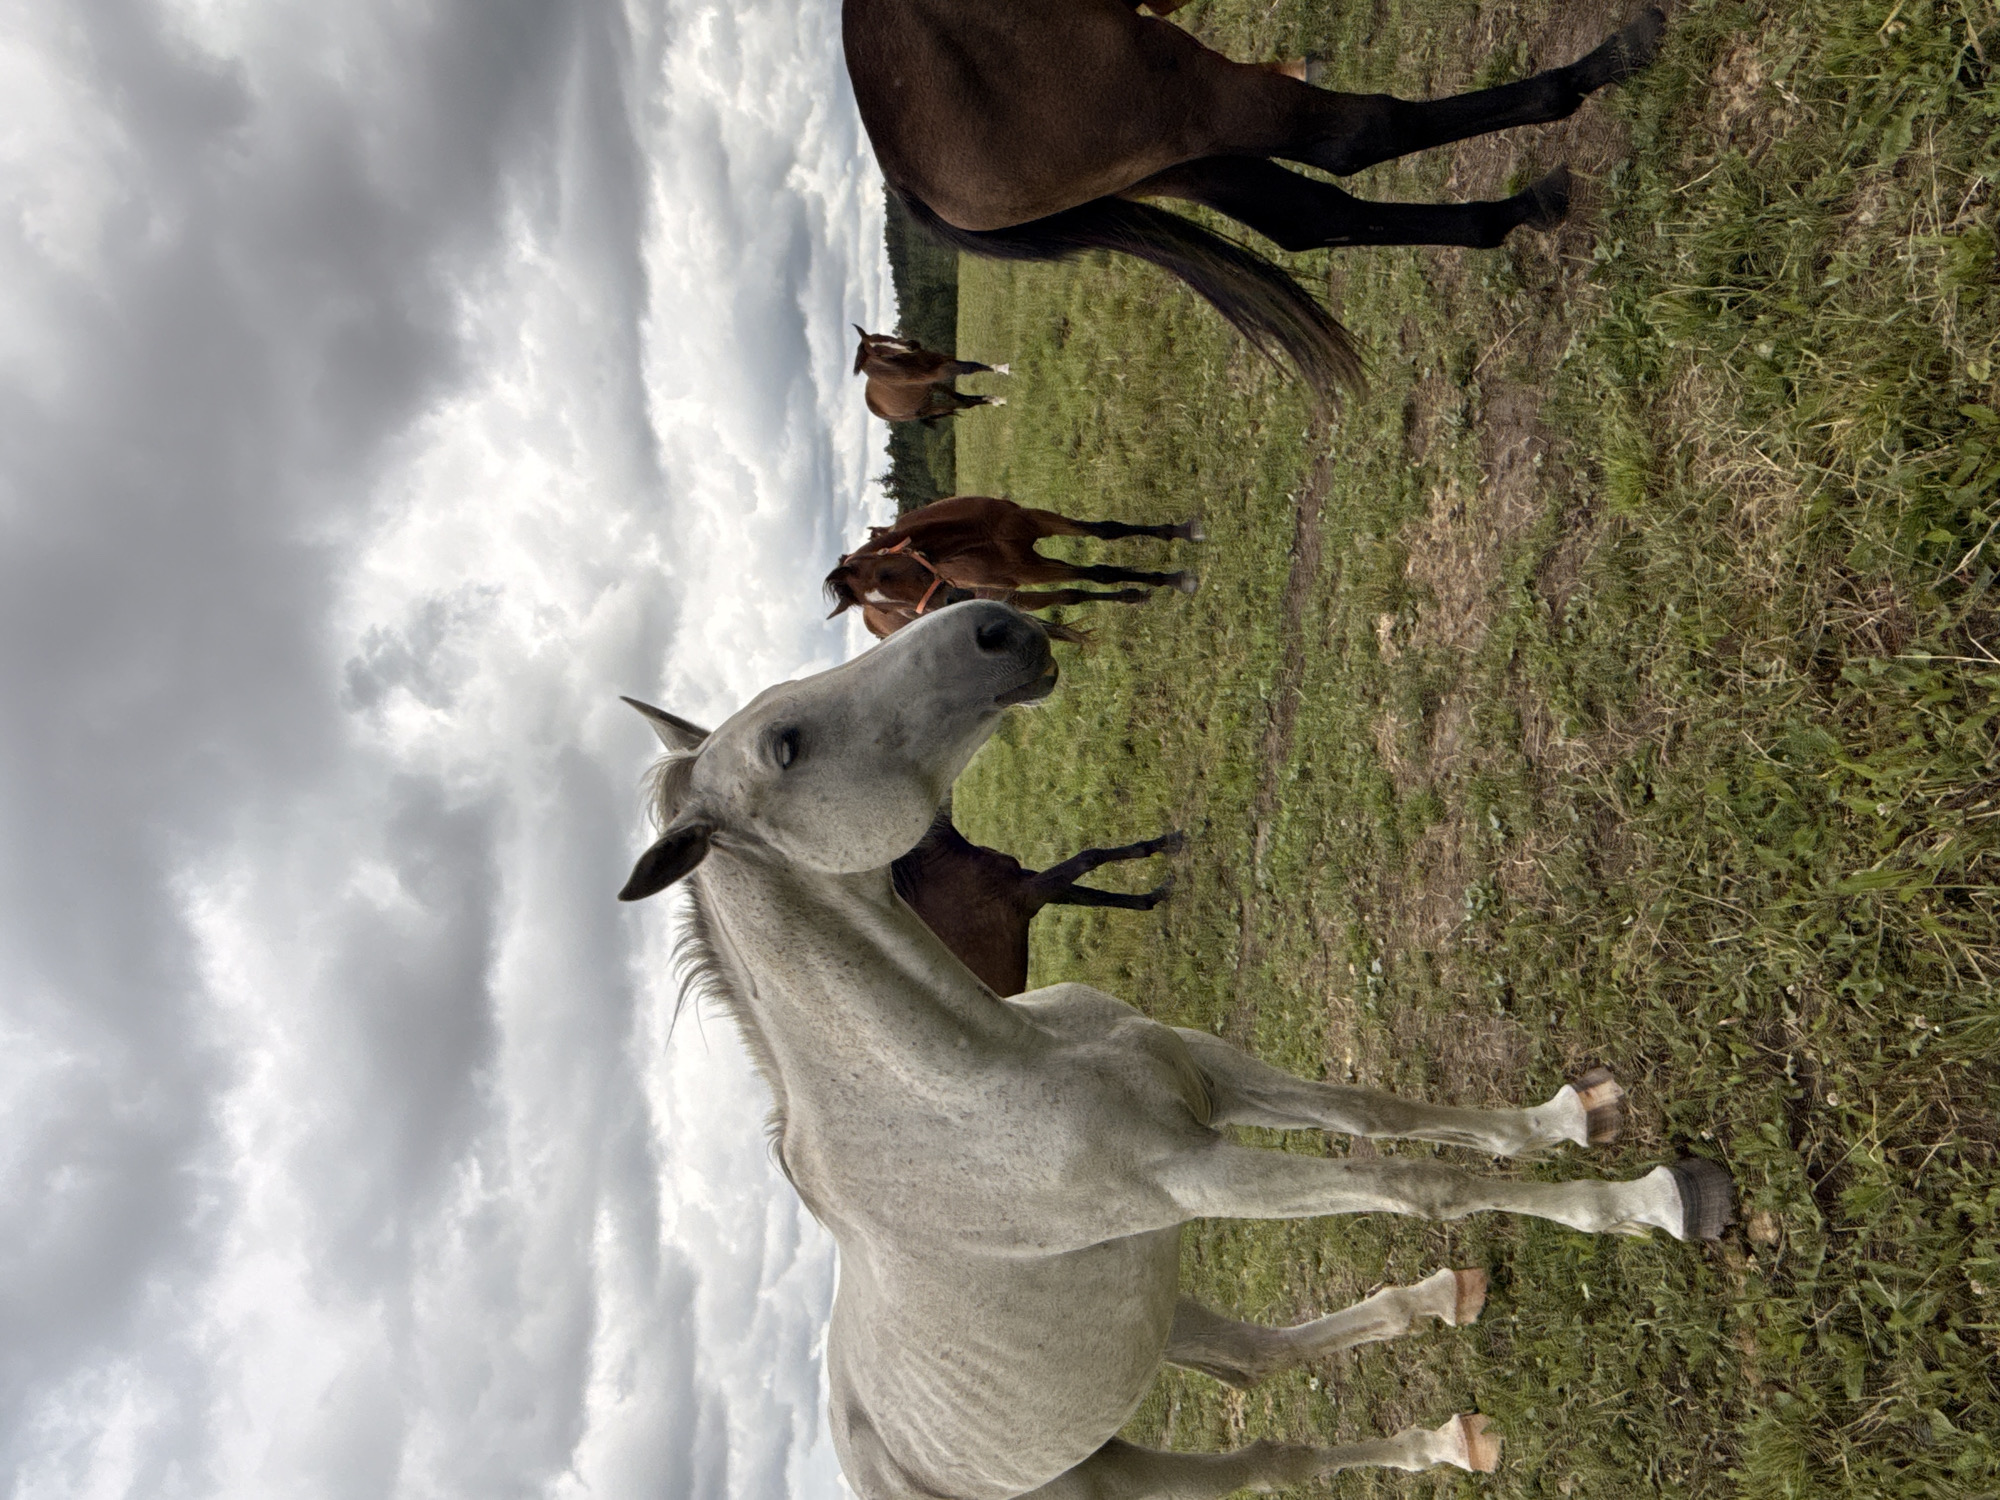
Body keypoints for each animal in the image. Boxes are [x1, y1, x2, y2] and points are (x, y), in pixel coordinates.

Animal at [826, 494, 1200, 638]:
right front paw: (1171, 580)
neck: (975, 537)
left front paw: (1181, 532)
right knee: (1070, 594)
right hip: (1018, 593)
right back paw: (1131, 594)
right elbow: (1098, 574)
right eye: (892, 607)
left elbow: (1108, 530)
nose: (954, 599)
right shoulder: (1025, 570)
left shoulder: (1036, 523)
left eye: (887, 572)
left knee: (1071, 594)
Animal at [841, 2, 1667, 398]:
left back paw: (1514, 210)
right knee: (1355, 137)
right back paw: (1605, 64)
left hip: (1170, 152)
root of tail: (906, 173)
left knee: (1309, 215)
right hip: (1178, 94)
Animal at [856, 326, 1010, 423]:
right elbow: (970, 367)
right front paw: (1003, 369)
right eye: (878, 354)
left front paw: (1000, 368)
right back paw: (996, 400)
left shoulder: (943, 362)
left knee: (964, 400)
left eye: (879, 335)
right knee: (962, 404)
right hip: (931, 407)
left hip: (935, 388)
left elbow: (973, 365)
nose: (912, 345)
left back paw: (995, 400)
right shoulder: (945, 370)